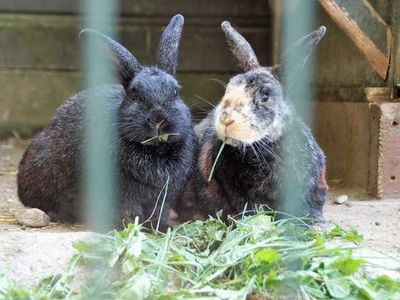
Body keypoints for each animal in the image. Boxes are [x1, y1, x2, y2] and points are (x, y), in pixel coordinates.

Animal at [18, 14, 196, 230]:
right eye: (134, 93)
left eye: (176, 91)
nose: (158, 119)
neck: (155, 150)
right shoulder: (123, 197)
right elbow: (128, 212)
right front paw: (130, 227)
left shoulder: (165, 197)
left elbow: (159, 214)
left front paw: (162, 228)